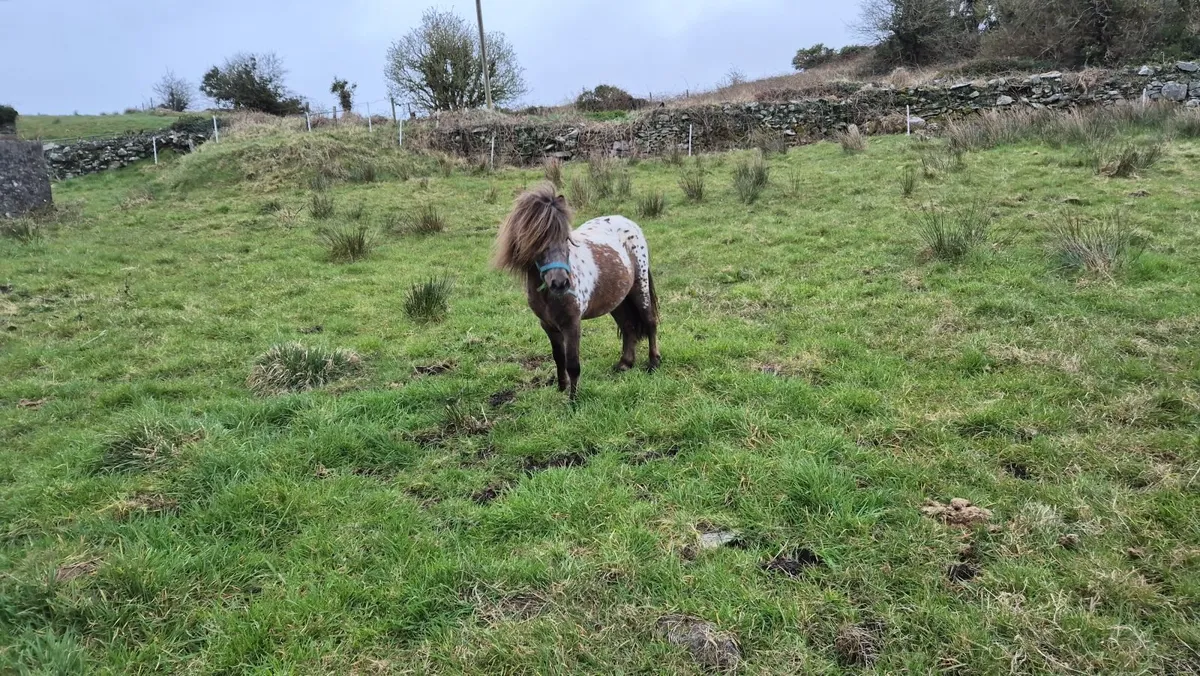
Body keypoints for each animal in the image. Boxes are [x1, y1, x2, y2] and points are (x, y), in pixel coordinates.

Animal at [494, 182, 660, 400]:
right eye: (537, 241)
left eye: (565, 238)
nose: (560, 283)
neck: (548, 296)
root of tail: (628, 222)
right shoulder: (548, 325)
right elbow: (559, 358)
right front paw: (561, 387)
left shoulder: (572, 324)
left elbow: (573, 364)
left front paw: (573, 400)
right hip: (617, 299)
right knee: (628, 326)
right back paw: (625, 364)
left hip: (639, 288)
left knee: (650, 322)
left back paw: (654, 363)